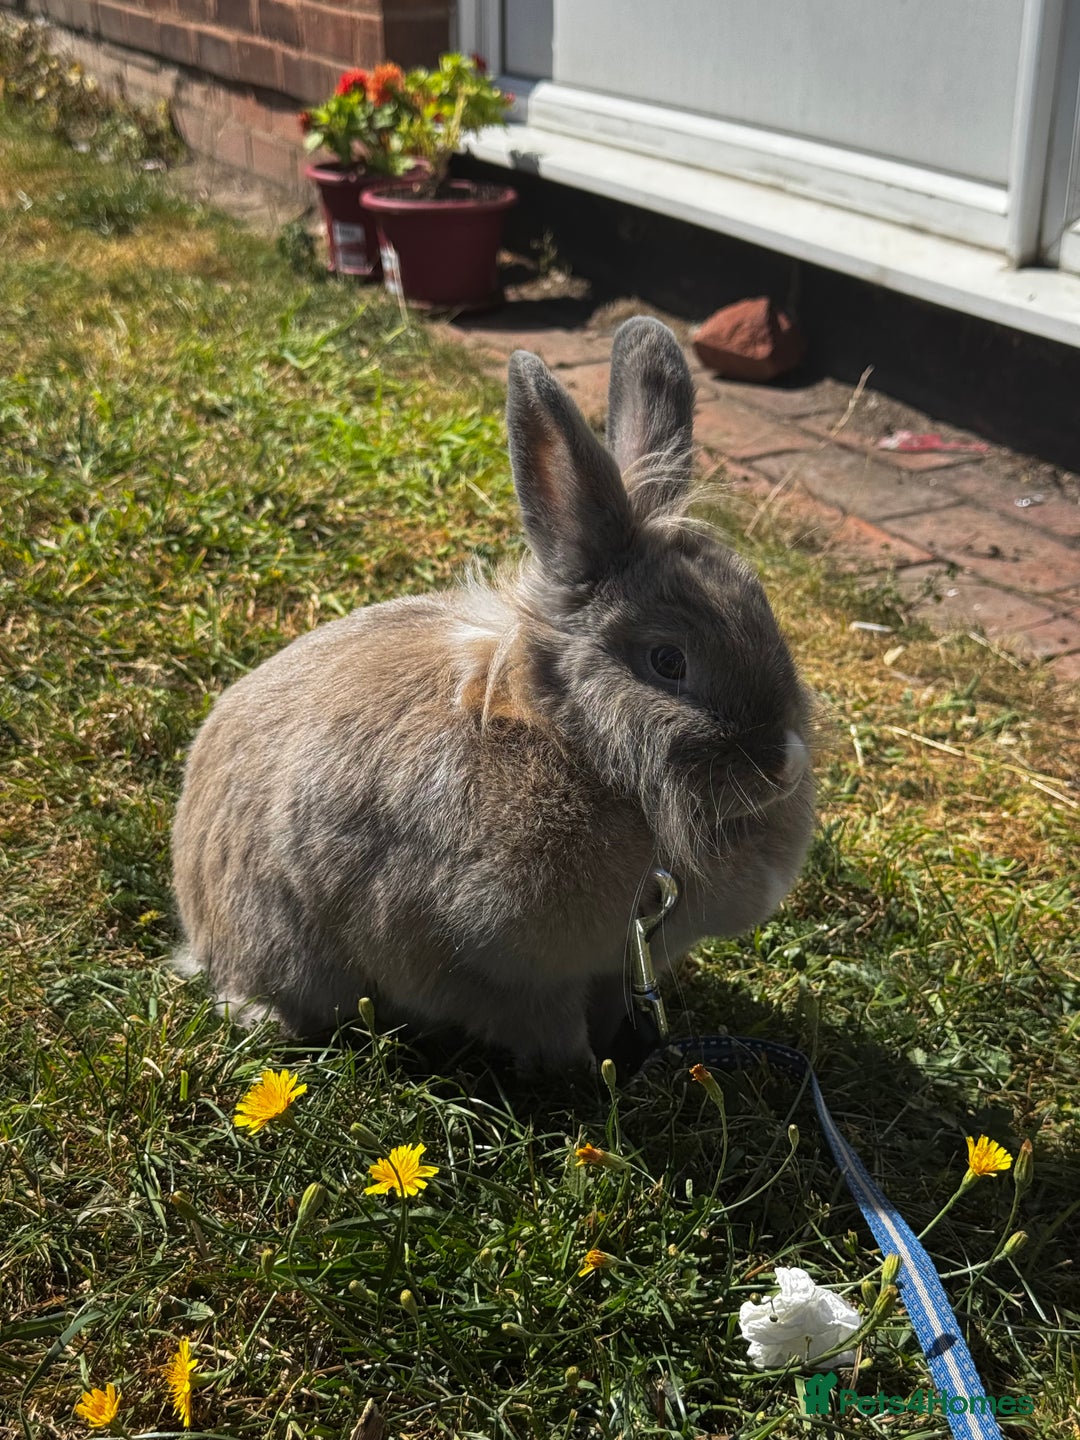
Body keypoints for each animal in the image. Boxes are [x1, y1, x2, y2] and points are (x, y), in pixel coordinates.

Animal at [171, 316, 815, 1069]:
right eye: (667, 662)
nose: (784, 764)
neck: (574, 746)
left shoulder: (615, 966)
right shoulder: (498, 970)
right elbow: (543, 1024)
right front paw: (583, 1072)